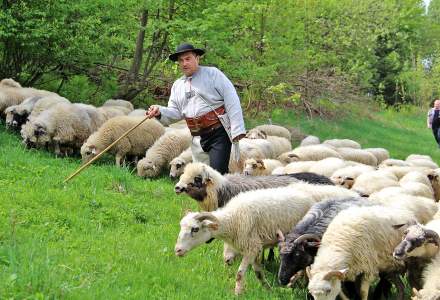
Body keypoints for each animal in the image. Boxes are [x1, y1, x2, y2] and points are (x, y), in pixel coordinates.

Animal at [174, 186, 324, 294]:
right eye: (181, 227)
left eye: (195, 229)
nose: (177, 250)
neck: (232, 219)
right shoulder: (256, 249)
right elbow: (258, 273)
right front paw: (268, 289)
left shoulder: (251, 247)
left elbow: (240, 274)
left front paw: (238, 293)